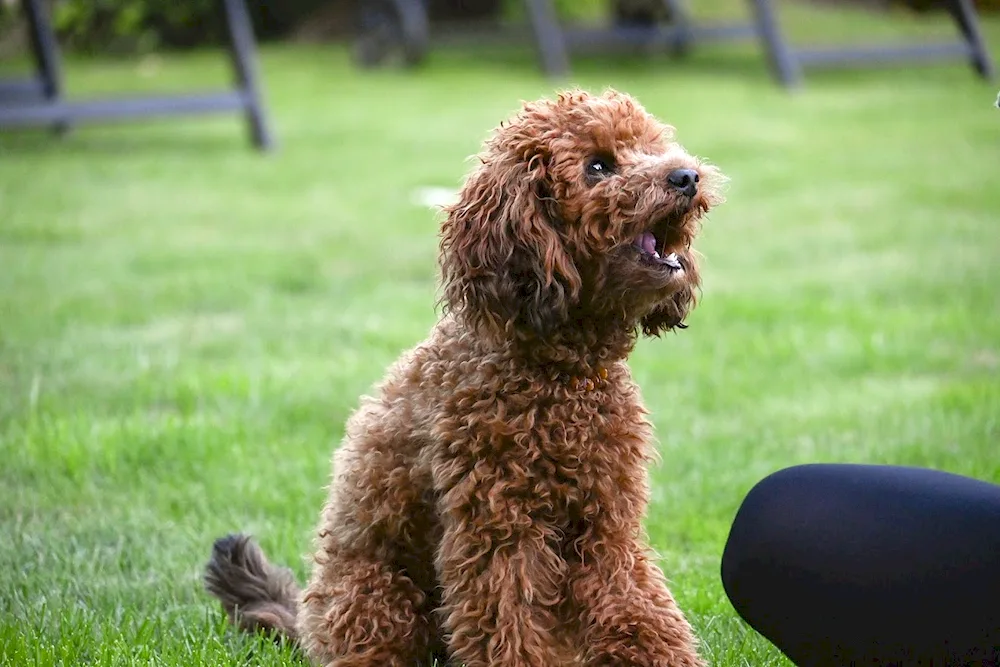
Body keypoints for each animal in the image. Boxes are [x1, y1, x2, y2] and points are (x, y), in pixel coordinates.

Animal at [205, 90, 720, 667]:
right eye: (597, 166)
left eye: (651, 147)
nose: (686, 176)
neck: (561, 376)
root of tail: (305, 620)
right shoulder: (498, 526)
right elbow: (507, 618)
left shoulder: (606, 522)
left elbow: (636, 603)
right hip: (377, 596)